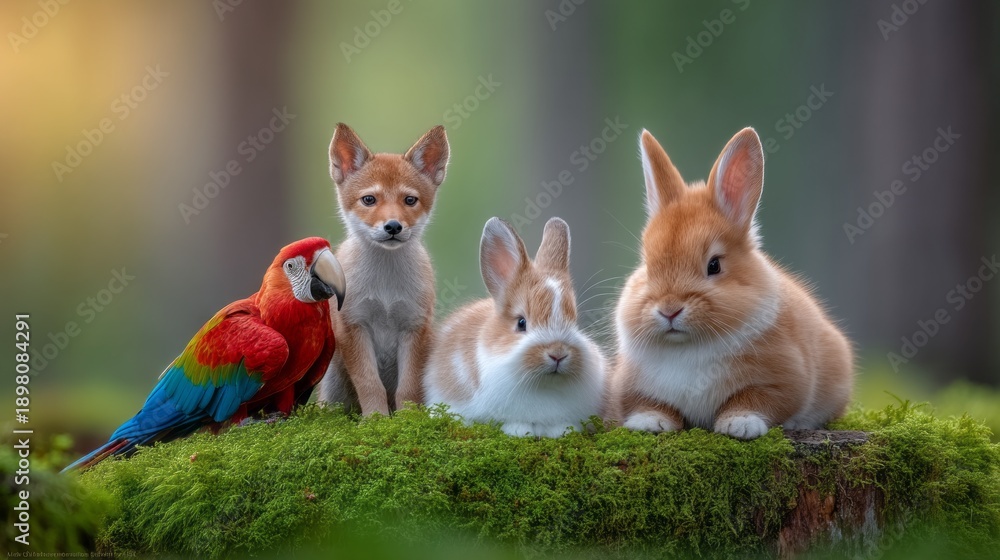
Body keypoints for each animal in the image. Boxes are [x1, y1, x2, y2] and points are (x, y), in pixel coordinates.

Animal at [317, 123, 450, 415]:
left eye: (410, 200)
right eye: (369, 199)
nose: (393, 226)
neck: (385, 287)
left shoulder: (414, 326)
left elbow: (407, 389)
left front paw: (408, 418)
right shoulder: (354, 325)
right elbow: (370, 384)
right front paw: (375, 418)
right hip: (332, 383)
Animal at [610, 127, 853, 439]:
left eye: (714, 265)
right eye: (648, 266)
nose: (669, 310)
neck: (689, 346)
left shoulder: (779, 381)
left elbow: (753, 400)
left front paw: (740, 425)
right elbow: (653, 404)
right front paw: (649, 423)